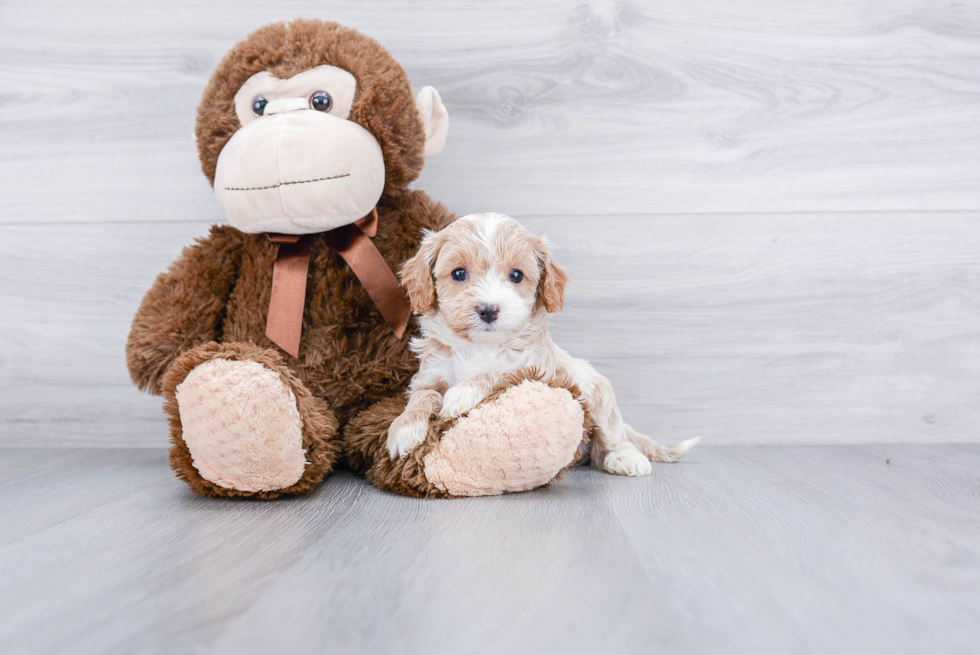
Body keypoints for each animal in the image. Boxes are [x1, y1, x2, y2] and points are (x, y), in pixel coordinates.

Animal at [382, 213, 696, 474]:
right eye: (459, 273)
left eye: (516, 275)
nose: (488, 310)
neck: (481, 346)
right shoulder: (429, 376)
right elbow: (424, 396)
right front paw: (404, 428)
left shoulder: (537, 370)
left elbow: (498, 372)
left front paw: (462, 393)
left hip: (598, 392)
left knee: (611, 435)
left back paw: (625, 457)